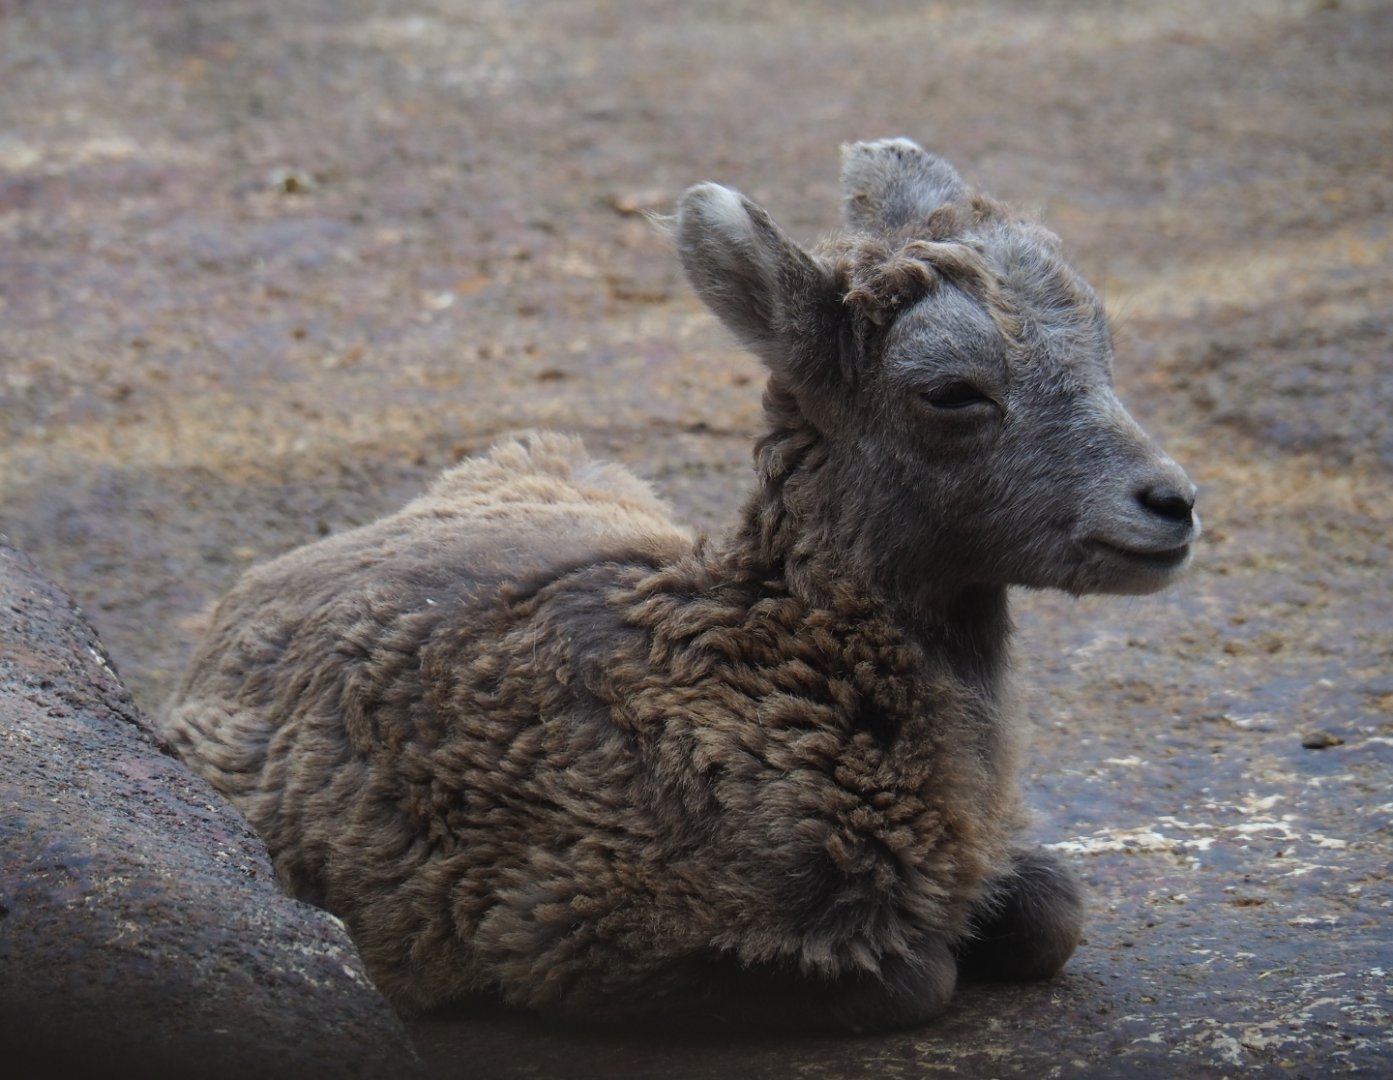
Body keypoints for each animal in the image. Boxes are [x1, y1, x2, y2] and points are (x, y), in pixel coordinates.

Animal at [160, 138, 1200, 1033]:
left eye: (1102, 344)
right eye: (951, 392)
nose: (1170, 504)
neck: (763, 663)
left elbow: (1055, 913)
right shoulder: (579, 933)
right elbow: (917, 977)